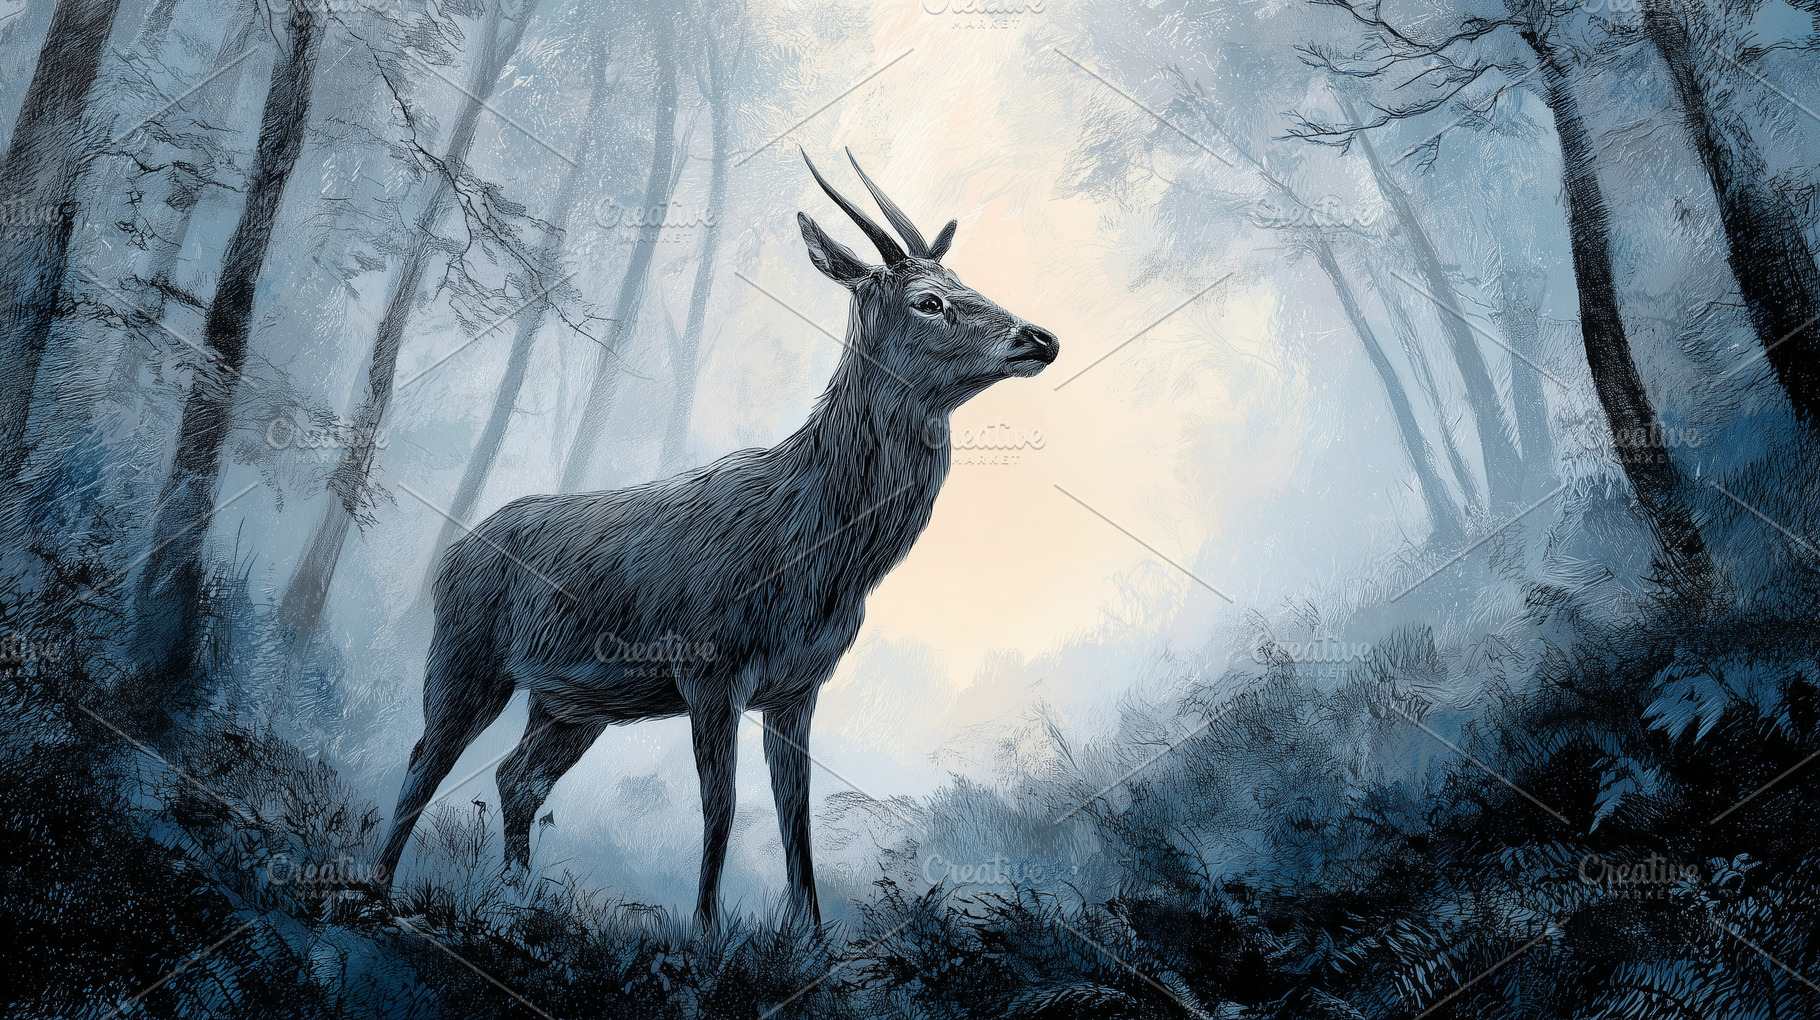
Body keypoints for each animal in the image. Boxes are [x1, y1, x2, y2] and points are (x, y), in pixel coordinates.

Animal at [375, 149, 1060, 928]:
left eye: (964, 283)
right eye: (929, 300)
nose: (1040, 338)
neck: (819, 555)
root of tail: (453, 552)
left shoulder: (799, 685)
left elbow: (796, 814)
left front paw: (808, 934)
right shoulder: (710, 667)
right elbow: (721, 807)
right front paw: (705, 930)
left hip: (574, 702)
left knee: (517, 776)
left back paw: (515, 898)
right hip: (466, 654)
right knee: (425, 758)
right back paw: (379, 891)